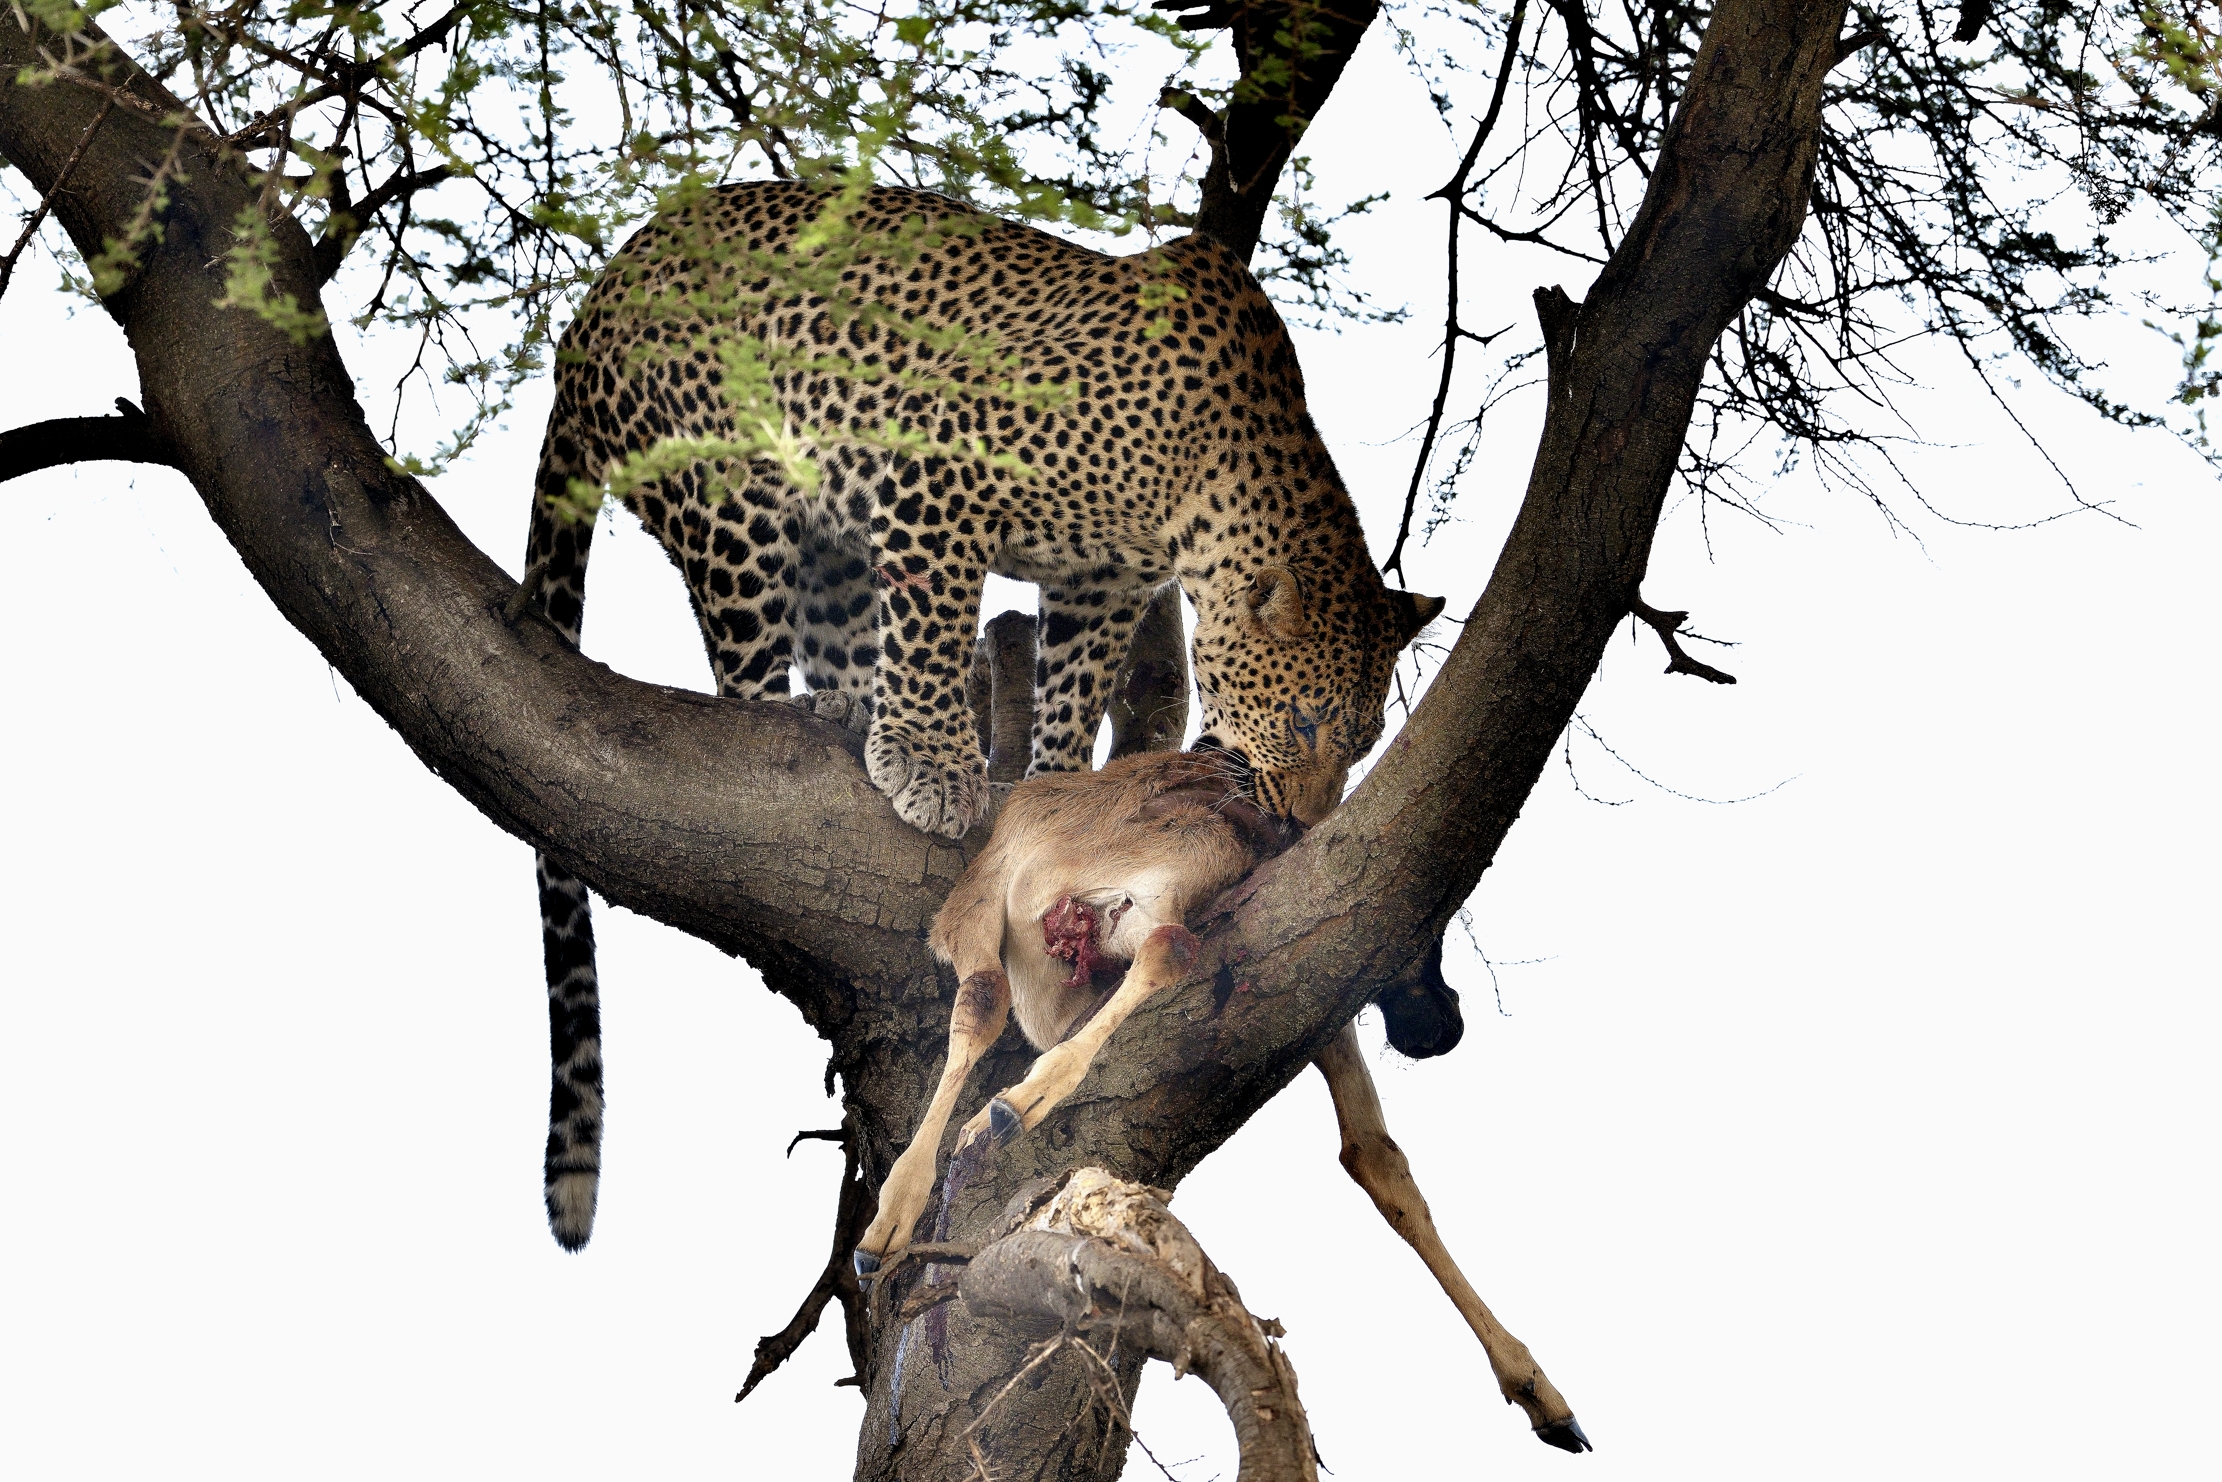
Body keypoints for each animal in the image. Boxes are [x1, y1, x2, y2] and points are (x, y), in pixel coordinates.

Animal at [517, 180, 1442, 1251]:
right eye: (1301, 724)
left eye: (1364, 741)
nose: (1301, 822)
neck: (1202, 483)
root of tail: (596, 298)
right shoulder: (932, 475)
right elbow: (932, 617)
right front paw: (937, 767)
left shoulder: (1098, 579)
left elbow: (1074, 683)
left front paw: (1051, 773)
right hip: (733, 498)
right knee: (743, 668)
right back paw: (804, 723)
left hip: (825, 545)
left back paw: (848, 710)